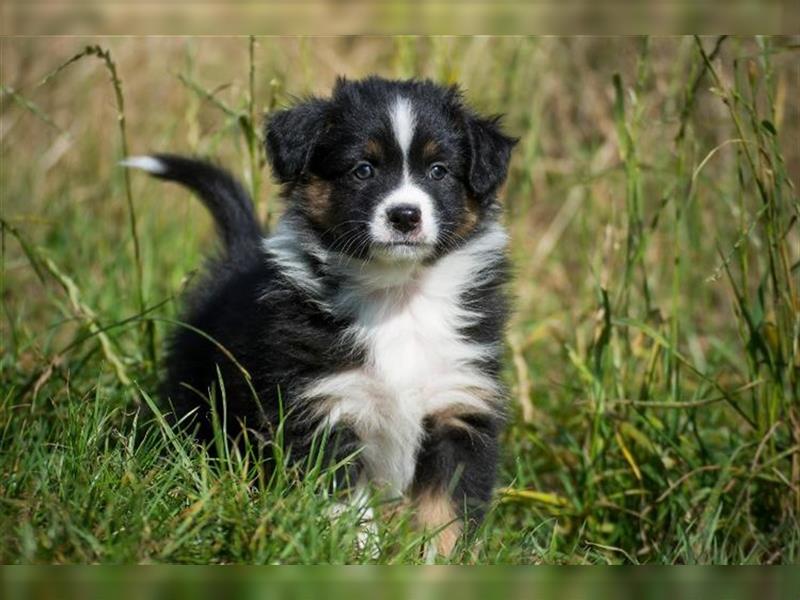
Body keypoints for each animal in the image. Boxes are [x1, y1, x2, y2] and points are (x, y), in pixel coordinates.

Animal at [122, 76, 516, 556]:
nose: (405, 215)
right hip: (197, 395)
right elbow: (348, 509)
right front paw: (355, 555)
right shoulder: (325, 410)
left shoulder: (457, 409)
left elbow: (446, 516)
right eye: (363, 169)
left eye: (439, 170)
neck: (396, 296)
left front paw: (440, 562)